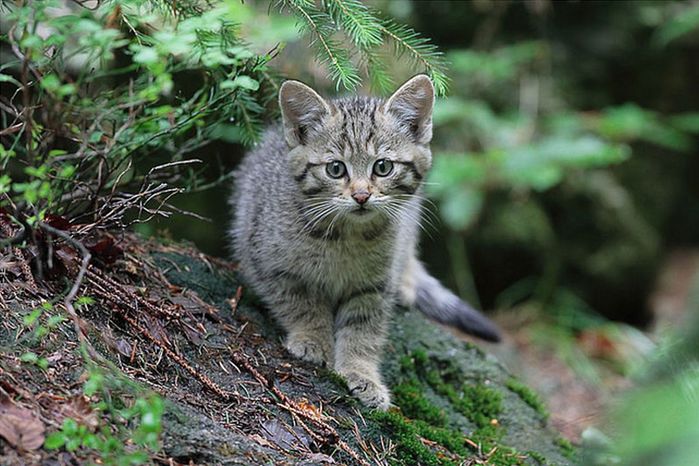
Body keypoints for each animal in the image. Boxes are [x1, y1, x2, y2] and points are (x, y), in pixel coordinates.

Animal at [232, 74, 500, 410]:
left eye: (383, 167)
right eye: (335, 168)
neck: (346, 237)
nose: (361, 195)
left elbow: (363, 330)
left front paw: (361, 373)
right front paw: (312, 339)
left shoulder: (373, 286)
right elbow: (302, 304)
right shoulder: (270, 263)